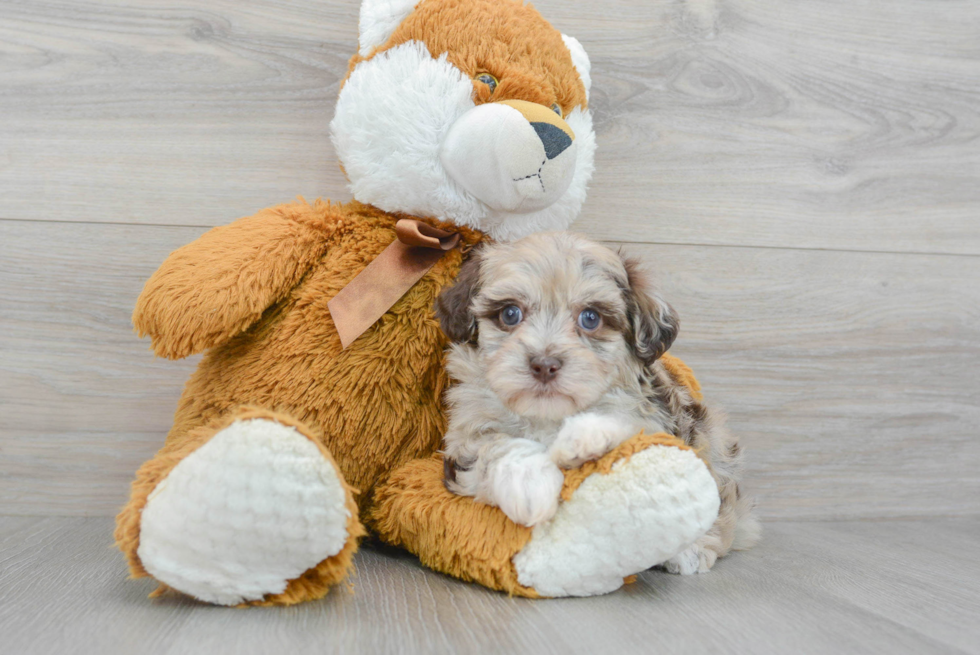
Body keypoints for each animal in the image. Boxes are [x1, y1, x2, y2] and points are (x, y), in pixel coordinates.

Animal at [434, 232, 756, 576]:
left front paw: (586, 438)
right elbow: (497, 446)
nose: (544, 365)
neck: (547, 417)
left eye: (590, 318)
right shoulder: (466, 435)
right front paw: (529, 485)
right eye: (510, 314)